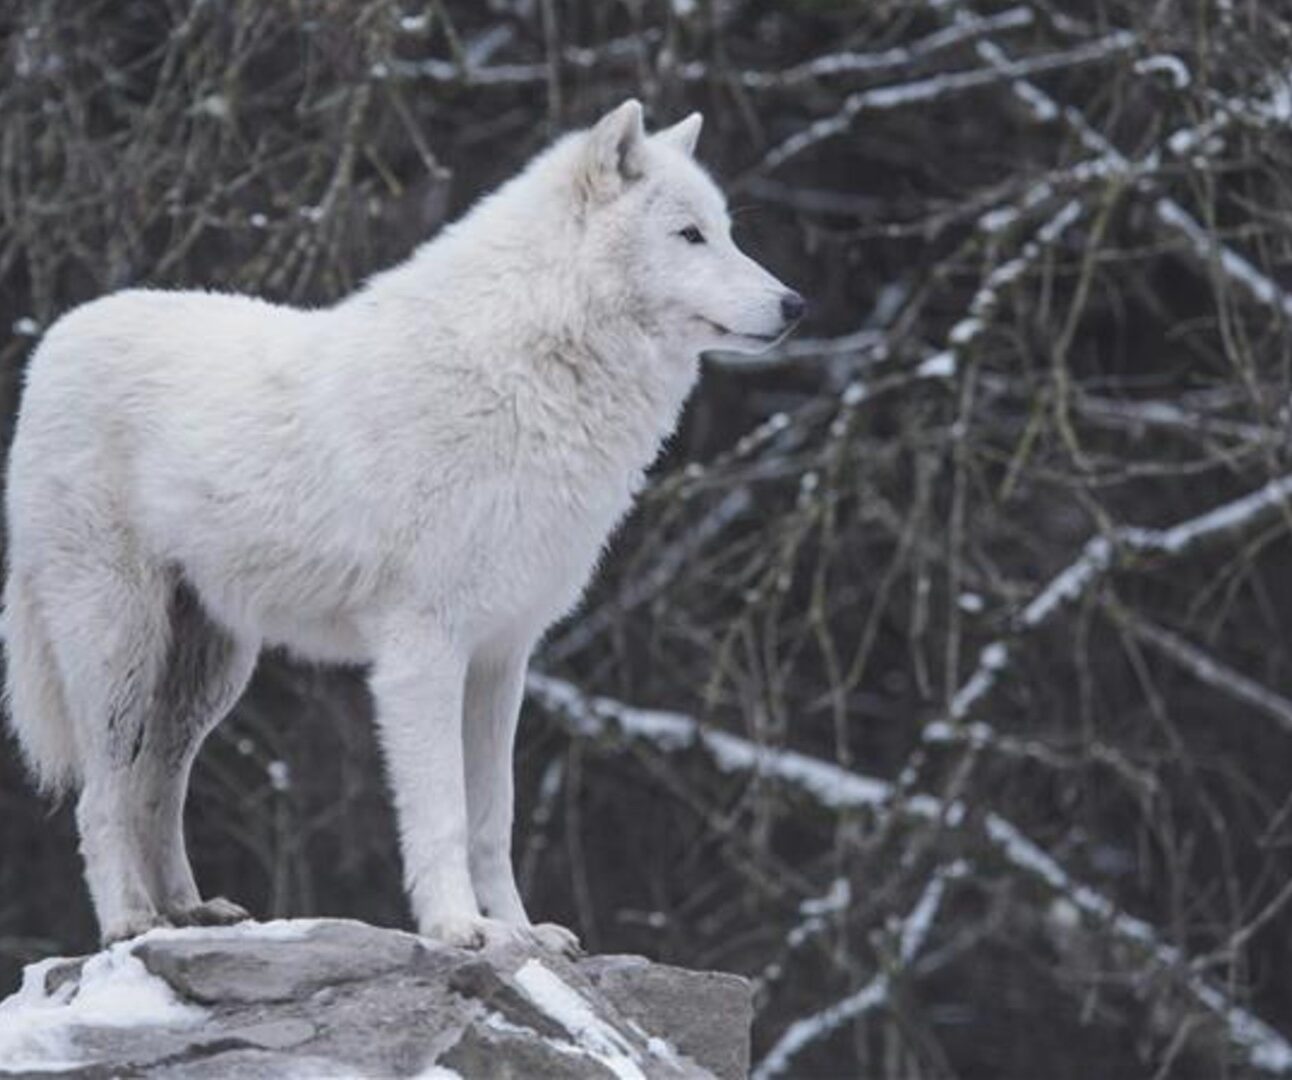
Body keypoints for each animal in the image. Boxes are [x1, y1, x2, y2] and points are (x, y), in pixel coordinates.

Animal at [2, 99, 803, 951]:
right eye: (690, 235)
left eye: (727, 231)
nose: (796, 306)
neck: (526, 373)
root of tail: (56, 338)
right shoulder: (423, 649)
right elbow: (444, 811)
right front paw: (458, 927)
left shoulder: (503, 656)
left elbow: (494, 817)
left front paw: (523, 933)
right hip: (119, 648)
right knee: (103, 796)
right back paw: (129, 921)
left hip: (210, 672)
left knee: (158, 786)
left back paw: (189, 913)